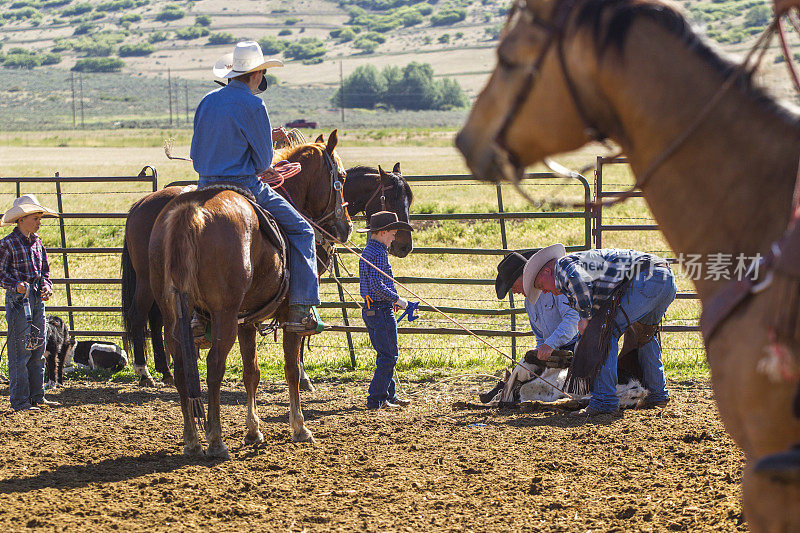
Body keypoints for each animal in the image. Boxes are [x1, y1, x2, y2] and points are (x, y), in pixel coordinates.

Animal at [120, 131, 346, 384]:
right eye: (342, 177)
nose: (345, 227)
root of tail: (140, 205)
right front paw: (304, 377)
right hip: (146, 279)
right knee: (139, 316)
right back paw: (144, 371)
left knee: (157, 320)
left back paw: (165, 371)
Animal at [148, 137, 352, 458]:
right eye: (341, 178)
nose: (346, 226)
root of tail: (190, 210)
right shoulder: (285, 317)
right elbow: (292, 370)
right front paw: (299, 427)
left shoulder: (247, 320)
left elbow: (251, 373)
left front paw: (254, 431)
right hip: (225, 315)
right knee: (214, 367)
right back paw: (215, 440)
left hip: (175, 316)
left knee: (181, 369)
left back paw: (192, 440)